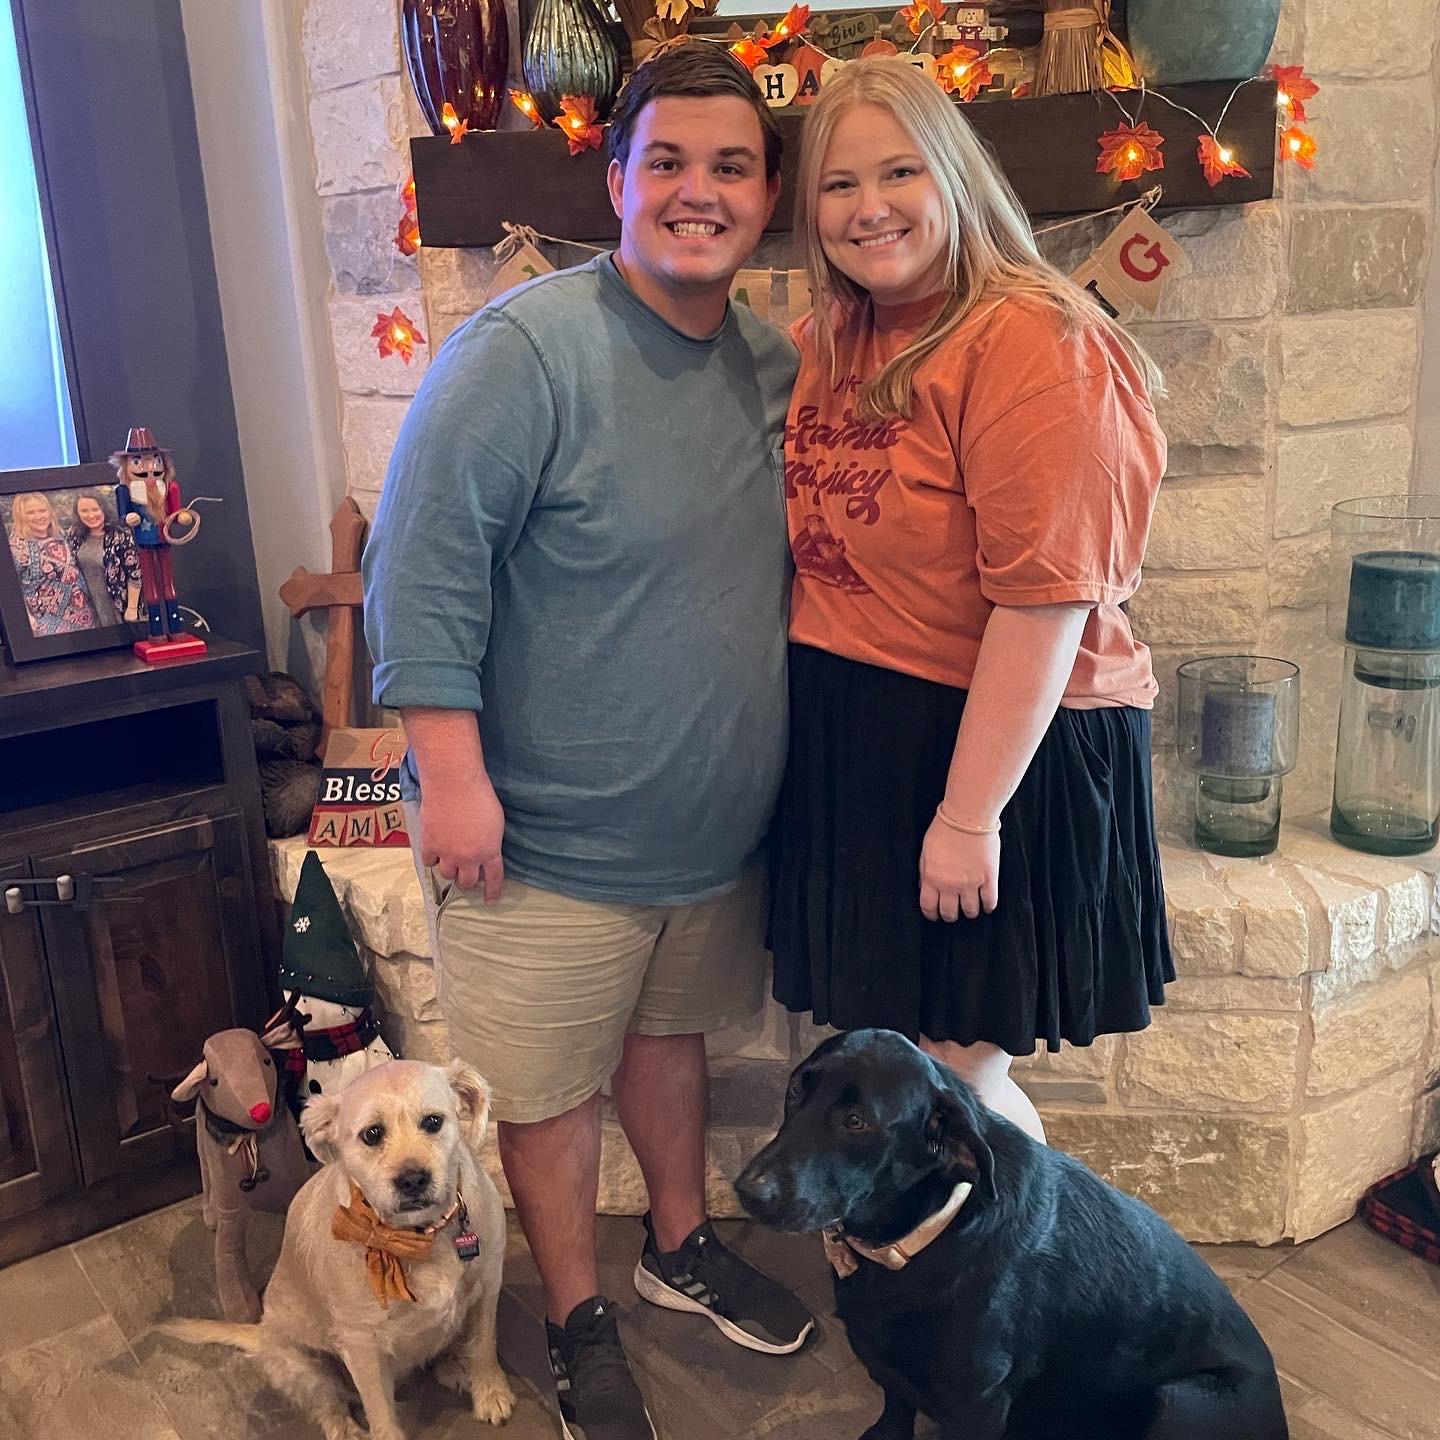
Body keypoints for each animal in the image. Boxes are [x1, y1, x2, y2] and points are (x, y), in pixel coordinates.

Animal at [164, 1058, 514, 1440]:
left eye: (433, 1122)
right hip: (305, 1366)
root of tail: (262, 1332)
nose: (413, 1179)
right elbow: (380, 1413)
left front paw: (490, 1392)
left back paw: (454, 1365)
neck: (420, 1237)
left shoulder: (488, 1288)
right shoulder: (361, 1343)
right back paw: (345, 1427)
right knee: (328, 1404)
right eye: (372, 1134)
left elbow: (485, 1345)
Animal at [735, 1030, 1288, 1440]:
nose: (747, 1190)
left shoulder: (977, 1402)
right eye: (795, 1089)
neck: (924, 1235)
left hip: (1181, 1401)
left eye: (856, 1121)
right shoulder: (888, 1362)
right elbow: (895, 1406)